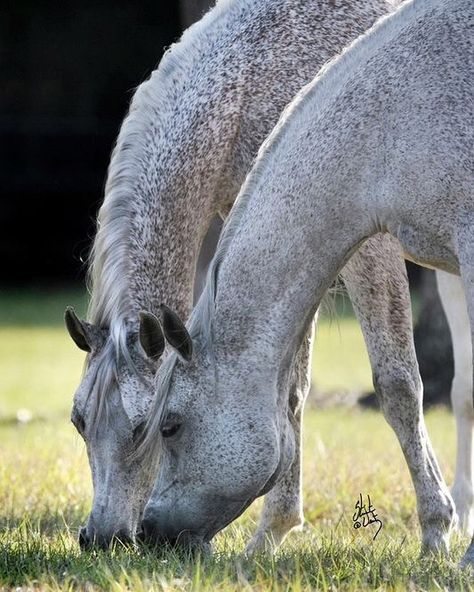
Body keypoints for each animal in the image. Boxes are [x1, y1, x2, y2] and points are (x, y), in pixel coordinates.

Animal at [65, 0, 408, 552]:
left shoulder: (362, 243)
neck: (251, 84)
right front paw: (273, 531)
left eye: (145, 428)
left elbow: (398, 385)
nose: (100, 538)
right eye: (79, 422)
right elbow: (288, 392)